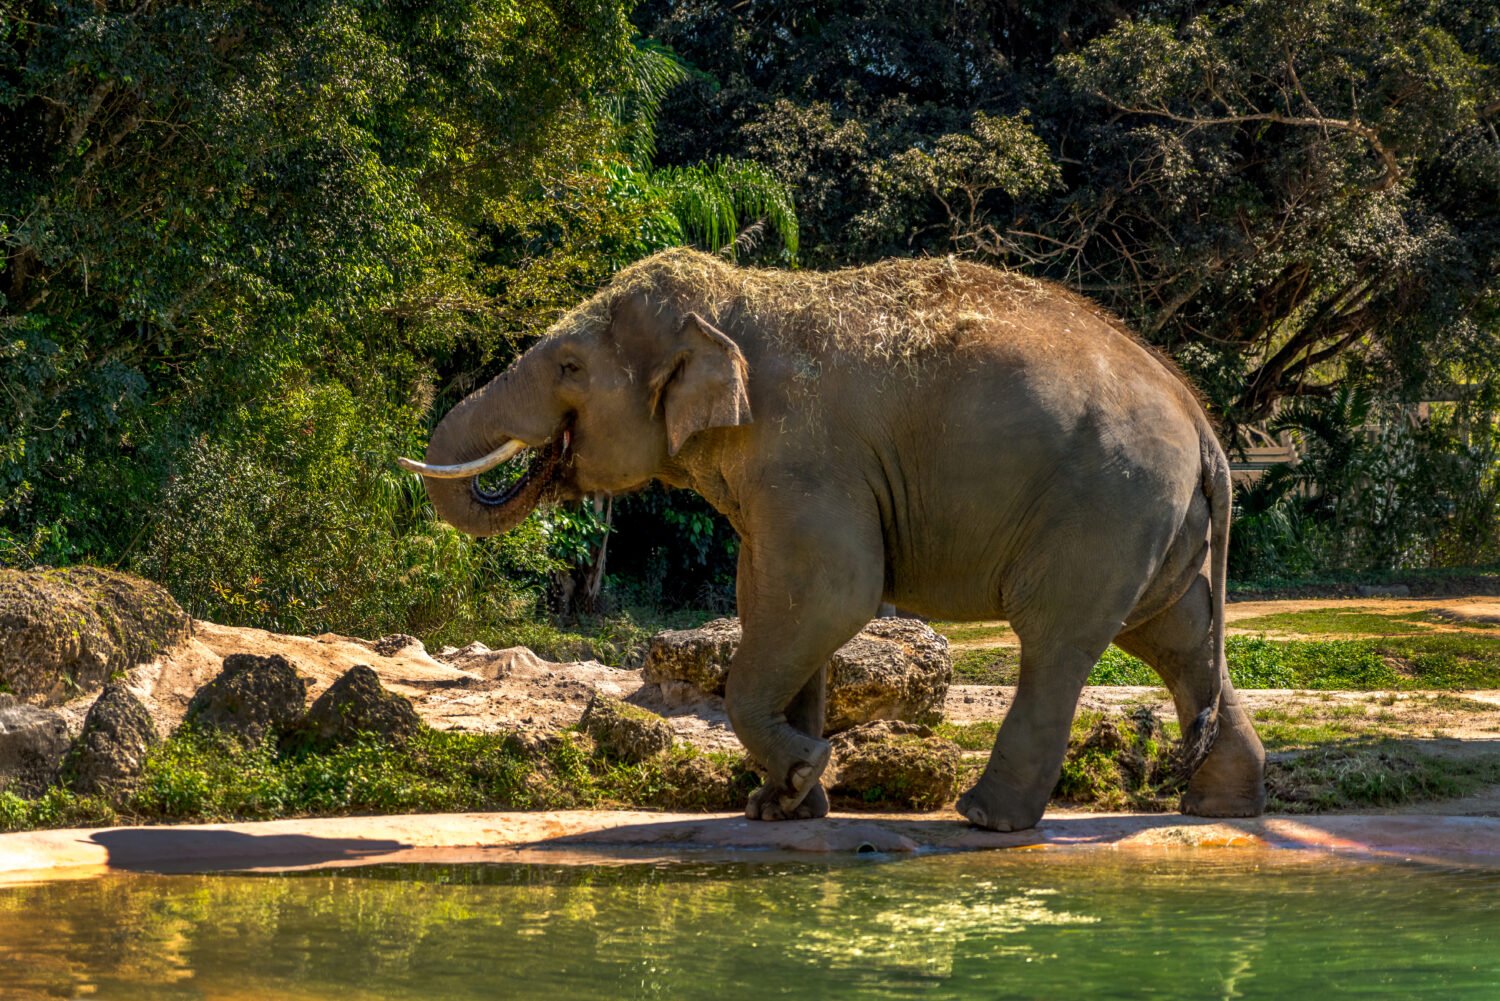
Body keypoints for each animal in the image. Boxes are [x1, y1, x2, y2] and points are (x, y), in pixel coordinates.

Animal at [400, 248, 1267, 831]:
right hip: (1156, 521)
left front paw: (799, 776)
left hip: (1104, 505)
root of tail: (1203, 424)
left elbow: (833, 593)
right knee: (1177, 635)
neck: (741, 296)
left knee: (1059, 638)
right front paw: (781, 805)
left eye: (569, 365)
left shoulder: (806, 456)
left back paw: (982, 817)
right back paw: (1221, 806)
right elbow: (774, 599)